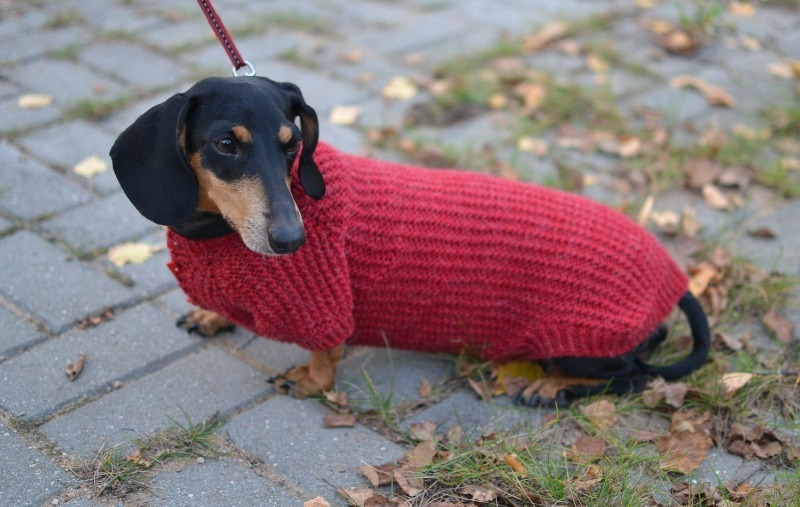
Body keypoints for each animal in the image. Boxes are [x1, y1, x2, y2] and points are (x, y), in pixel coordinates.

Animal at [109, 76, 708, 404]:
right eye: (225, 145)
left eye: (291, 143)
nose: (291, 239)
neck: (217, 235)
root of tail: (673, 278)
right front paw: (212, 315)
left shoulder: (326, 307)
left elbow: (326, 350)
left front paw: (312, 380)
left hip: (582, 341)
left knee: (631, 377)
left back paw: (552, 385)